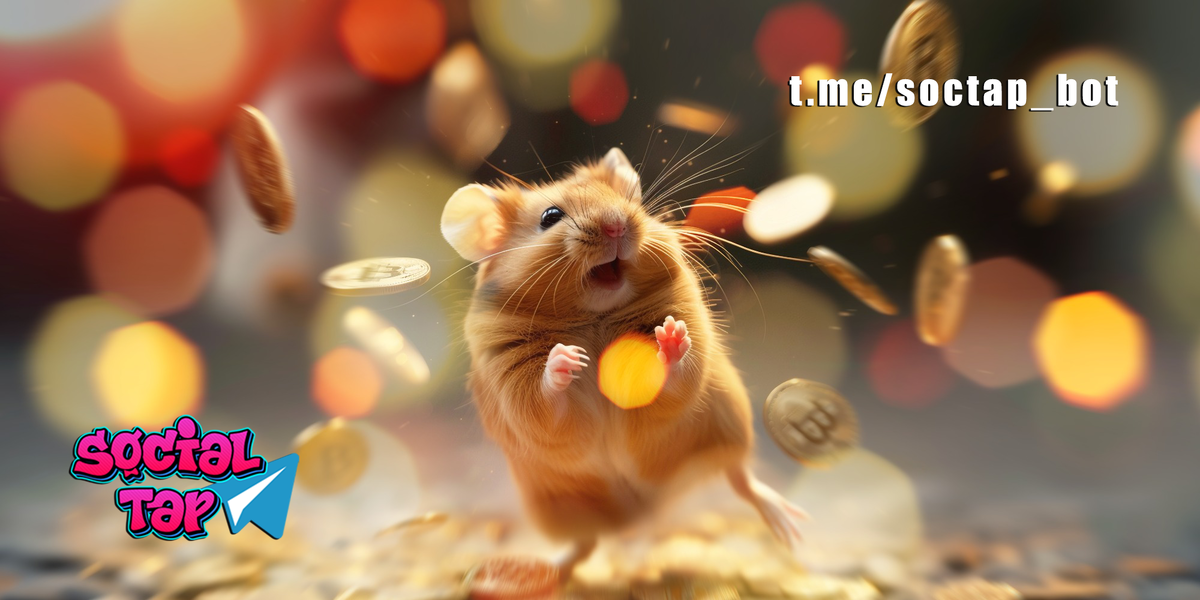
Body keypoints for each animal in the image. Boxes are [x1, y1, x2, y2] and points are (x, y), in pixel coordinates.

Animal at [441, 147, 807, 575]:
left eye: (626, 200)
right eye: (550, 217)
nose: (616, 224)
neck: (595, 316)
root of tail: (644, 515)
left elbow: (678, 375)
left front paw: (670, 337)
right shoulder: (512, 379)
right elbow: (545, 405)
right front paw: (565, 358)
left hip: (726, 430)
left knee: (741, 478)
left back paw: (788, 525)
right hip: (562, 508)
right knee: (584, 546)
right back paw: (540, 569)